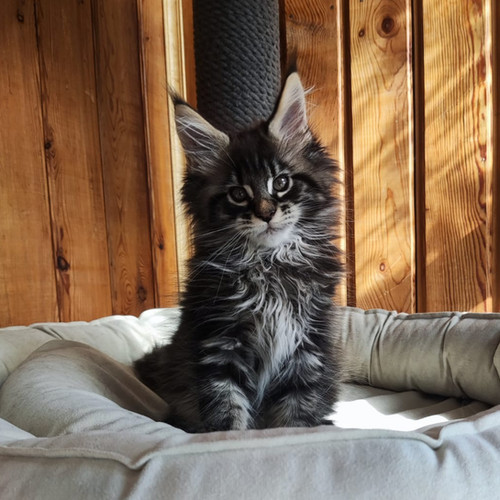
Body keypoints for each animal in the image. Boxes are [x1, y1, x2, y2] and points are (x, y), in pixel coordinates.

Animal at [134, 71, 344, 434]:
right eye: (237, 194)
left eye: (282, 183)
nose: (266, 214)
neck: (270, 266)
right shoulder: (219, 342)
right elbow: (227, 407)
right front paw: (231, 439)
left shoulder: (308, 344)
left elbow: (298, 411)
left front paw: (298, 434)